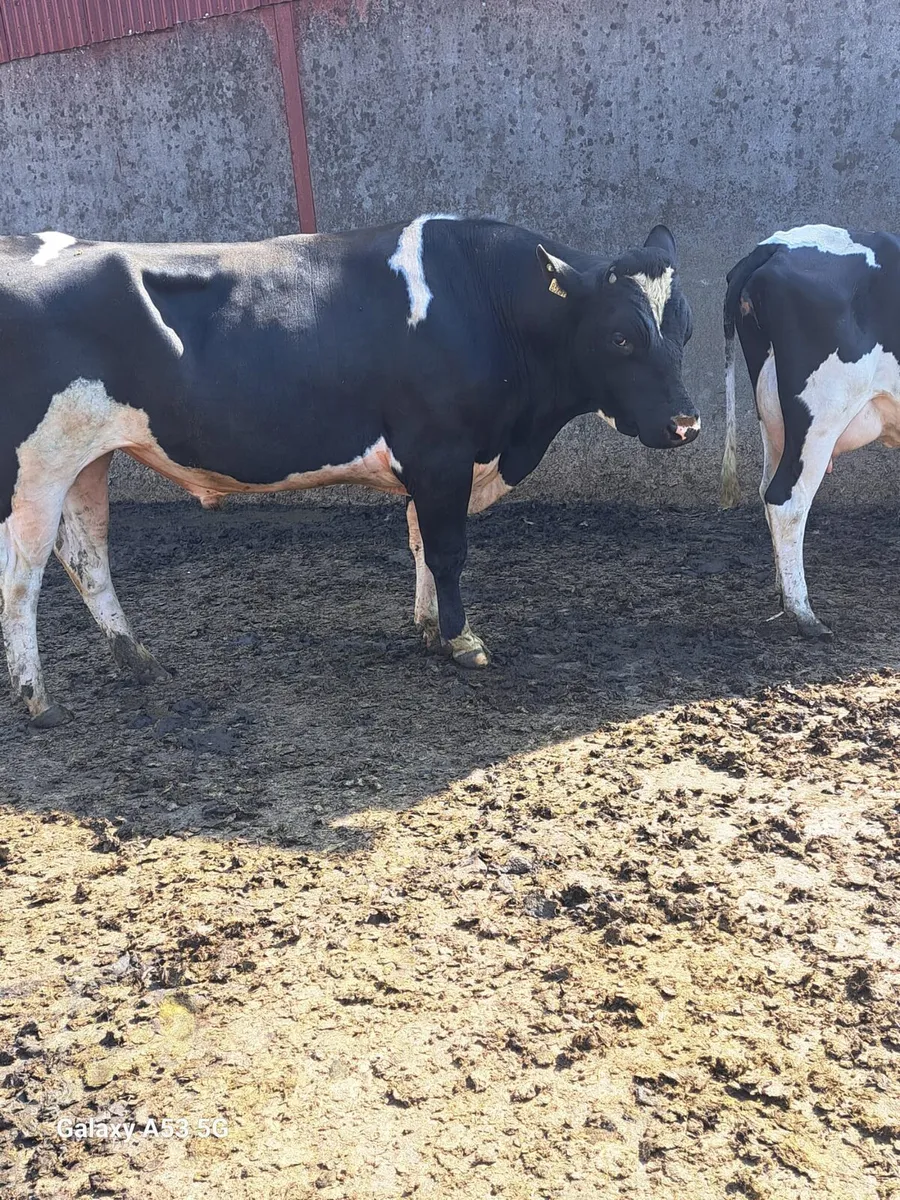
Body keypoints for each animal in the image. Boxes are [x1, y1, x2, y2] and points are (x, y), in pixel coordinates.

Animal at [0, 215, 699, 727]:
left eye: (686, 331)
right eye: (620, 337)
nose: (686, 425)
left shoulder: (435, 466)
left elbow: (420, 543)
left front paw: (429, 630)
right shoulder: (441, 452)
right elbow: (447, 551)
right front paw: (461, 640)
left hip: (86, 459)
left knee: (87, 556)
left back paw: (138, 661)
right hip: (34, 468)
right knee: (22, 577)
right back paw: (36, 698)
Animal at [722, 223, 900, 637]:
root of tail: (776, 245)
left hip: (773, 417)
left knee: (766, 489)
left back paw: (783, 593)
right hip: (821, 414)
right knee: (785, 498)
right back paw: (804, 614)